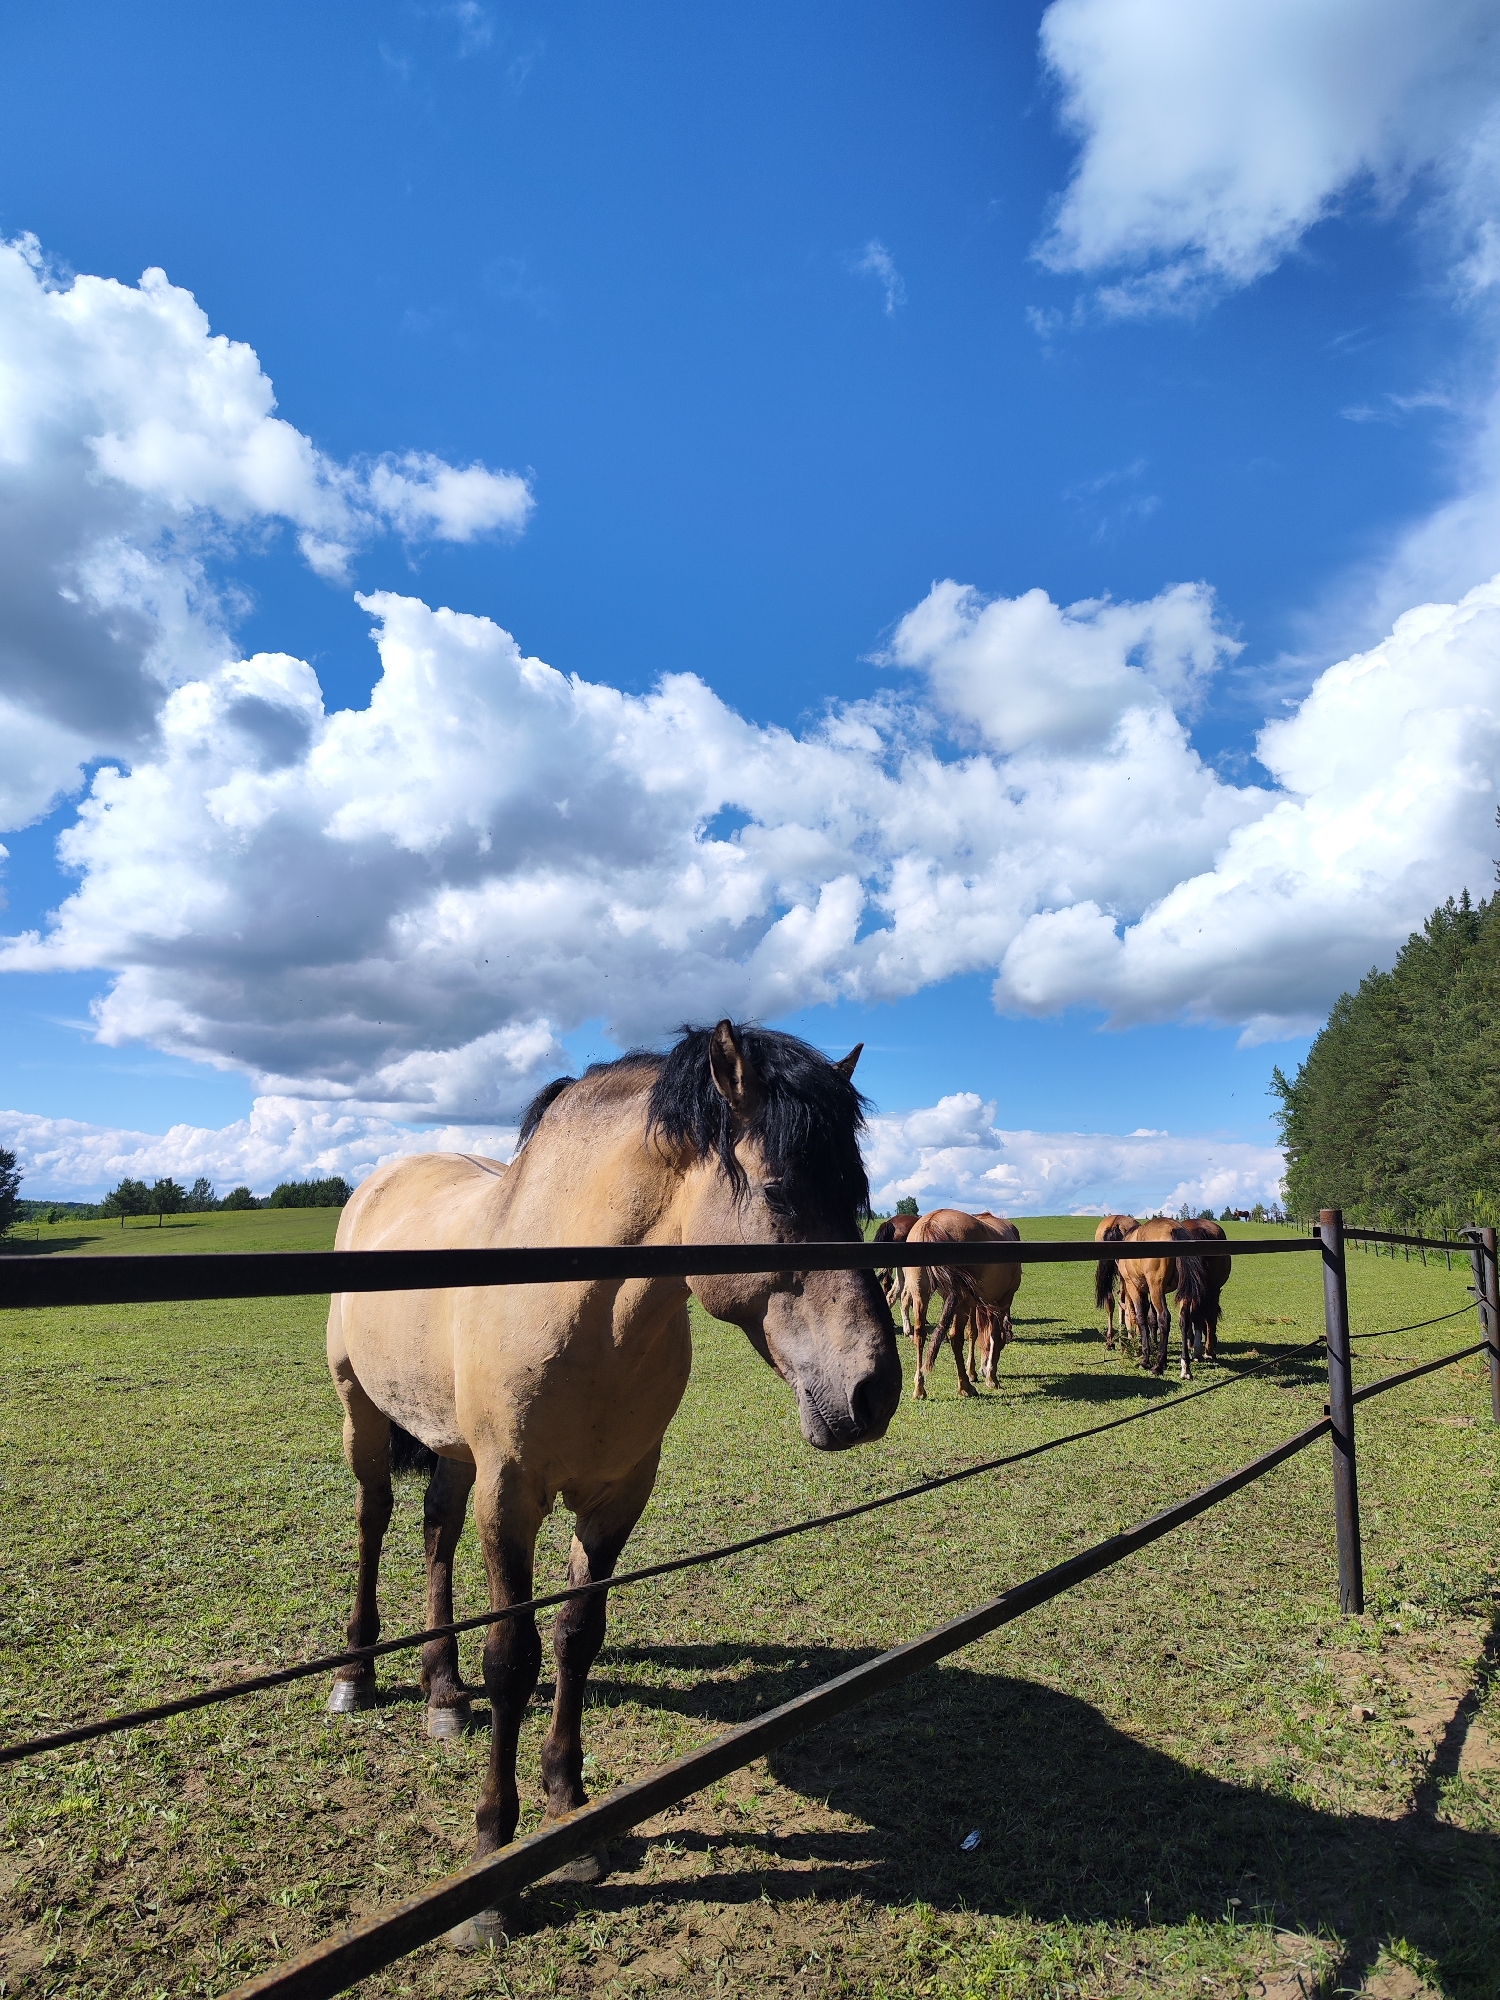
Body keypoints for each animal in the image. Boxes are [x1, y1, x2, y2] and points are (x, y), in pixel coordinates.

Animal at [325, 1021, 901, 1939]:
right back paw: (355, 1674)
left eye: (856, 1194)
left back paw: (442, 1691)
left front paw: (572, 1812)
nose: (873, 1391)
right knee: (374, 1520)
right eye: (779, 1195)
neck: (577, 1302)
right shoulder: (511, 1496)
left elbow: (576, 1640)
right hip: (363, 1413)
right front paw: (491, 1857)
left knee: (434, 1530)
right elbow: (514, 1659)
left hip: (454, 1448)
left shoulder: (617, 1496)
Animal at [902, 1210, 1022, 1398]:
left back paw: (919, 1388)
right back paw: (965, 1386)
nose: (983, 1371)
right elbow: (994, 1335)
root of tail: (930, 1222)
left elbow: (973, 1332)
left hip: (921, 1295)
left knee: (920, 1334)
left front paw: (973, 1371)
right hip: (960, 1302)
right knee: (955, 1337)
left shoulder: (975, 1304)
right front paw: (991, 1377)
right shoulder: (1002, 1300)